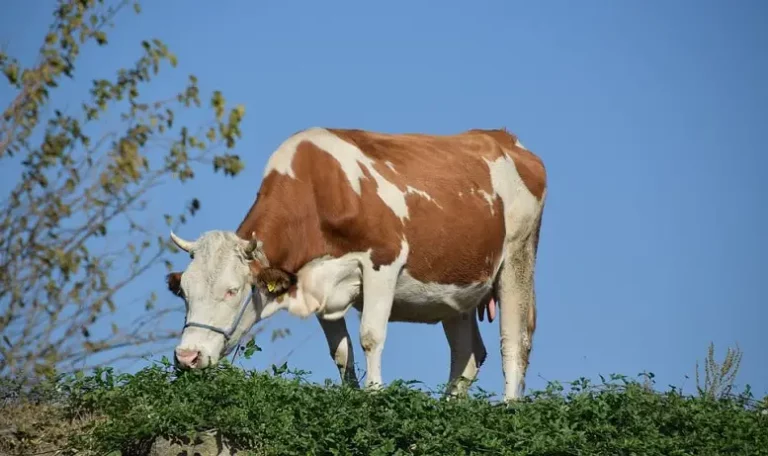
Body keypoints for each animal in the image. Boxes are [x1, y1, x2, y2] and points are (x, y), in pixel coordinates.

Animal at [165, 126, 544, 400]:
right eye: (184, 292)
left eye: (232, 291)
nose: (186, 356)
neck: (320, 191)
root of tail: (503, 137)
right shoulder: (312, 281)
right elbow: (340, 351)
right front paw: (352, 396)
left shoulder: (383, 262)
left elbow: (370, 337)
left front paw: (374, 396)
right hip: (457, 289)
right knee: (468, 355)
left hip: (518, 254)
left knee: (515, 341)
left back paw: (510, 407)